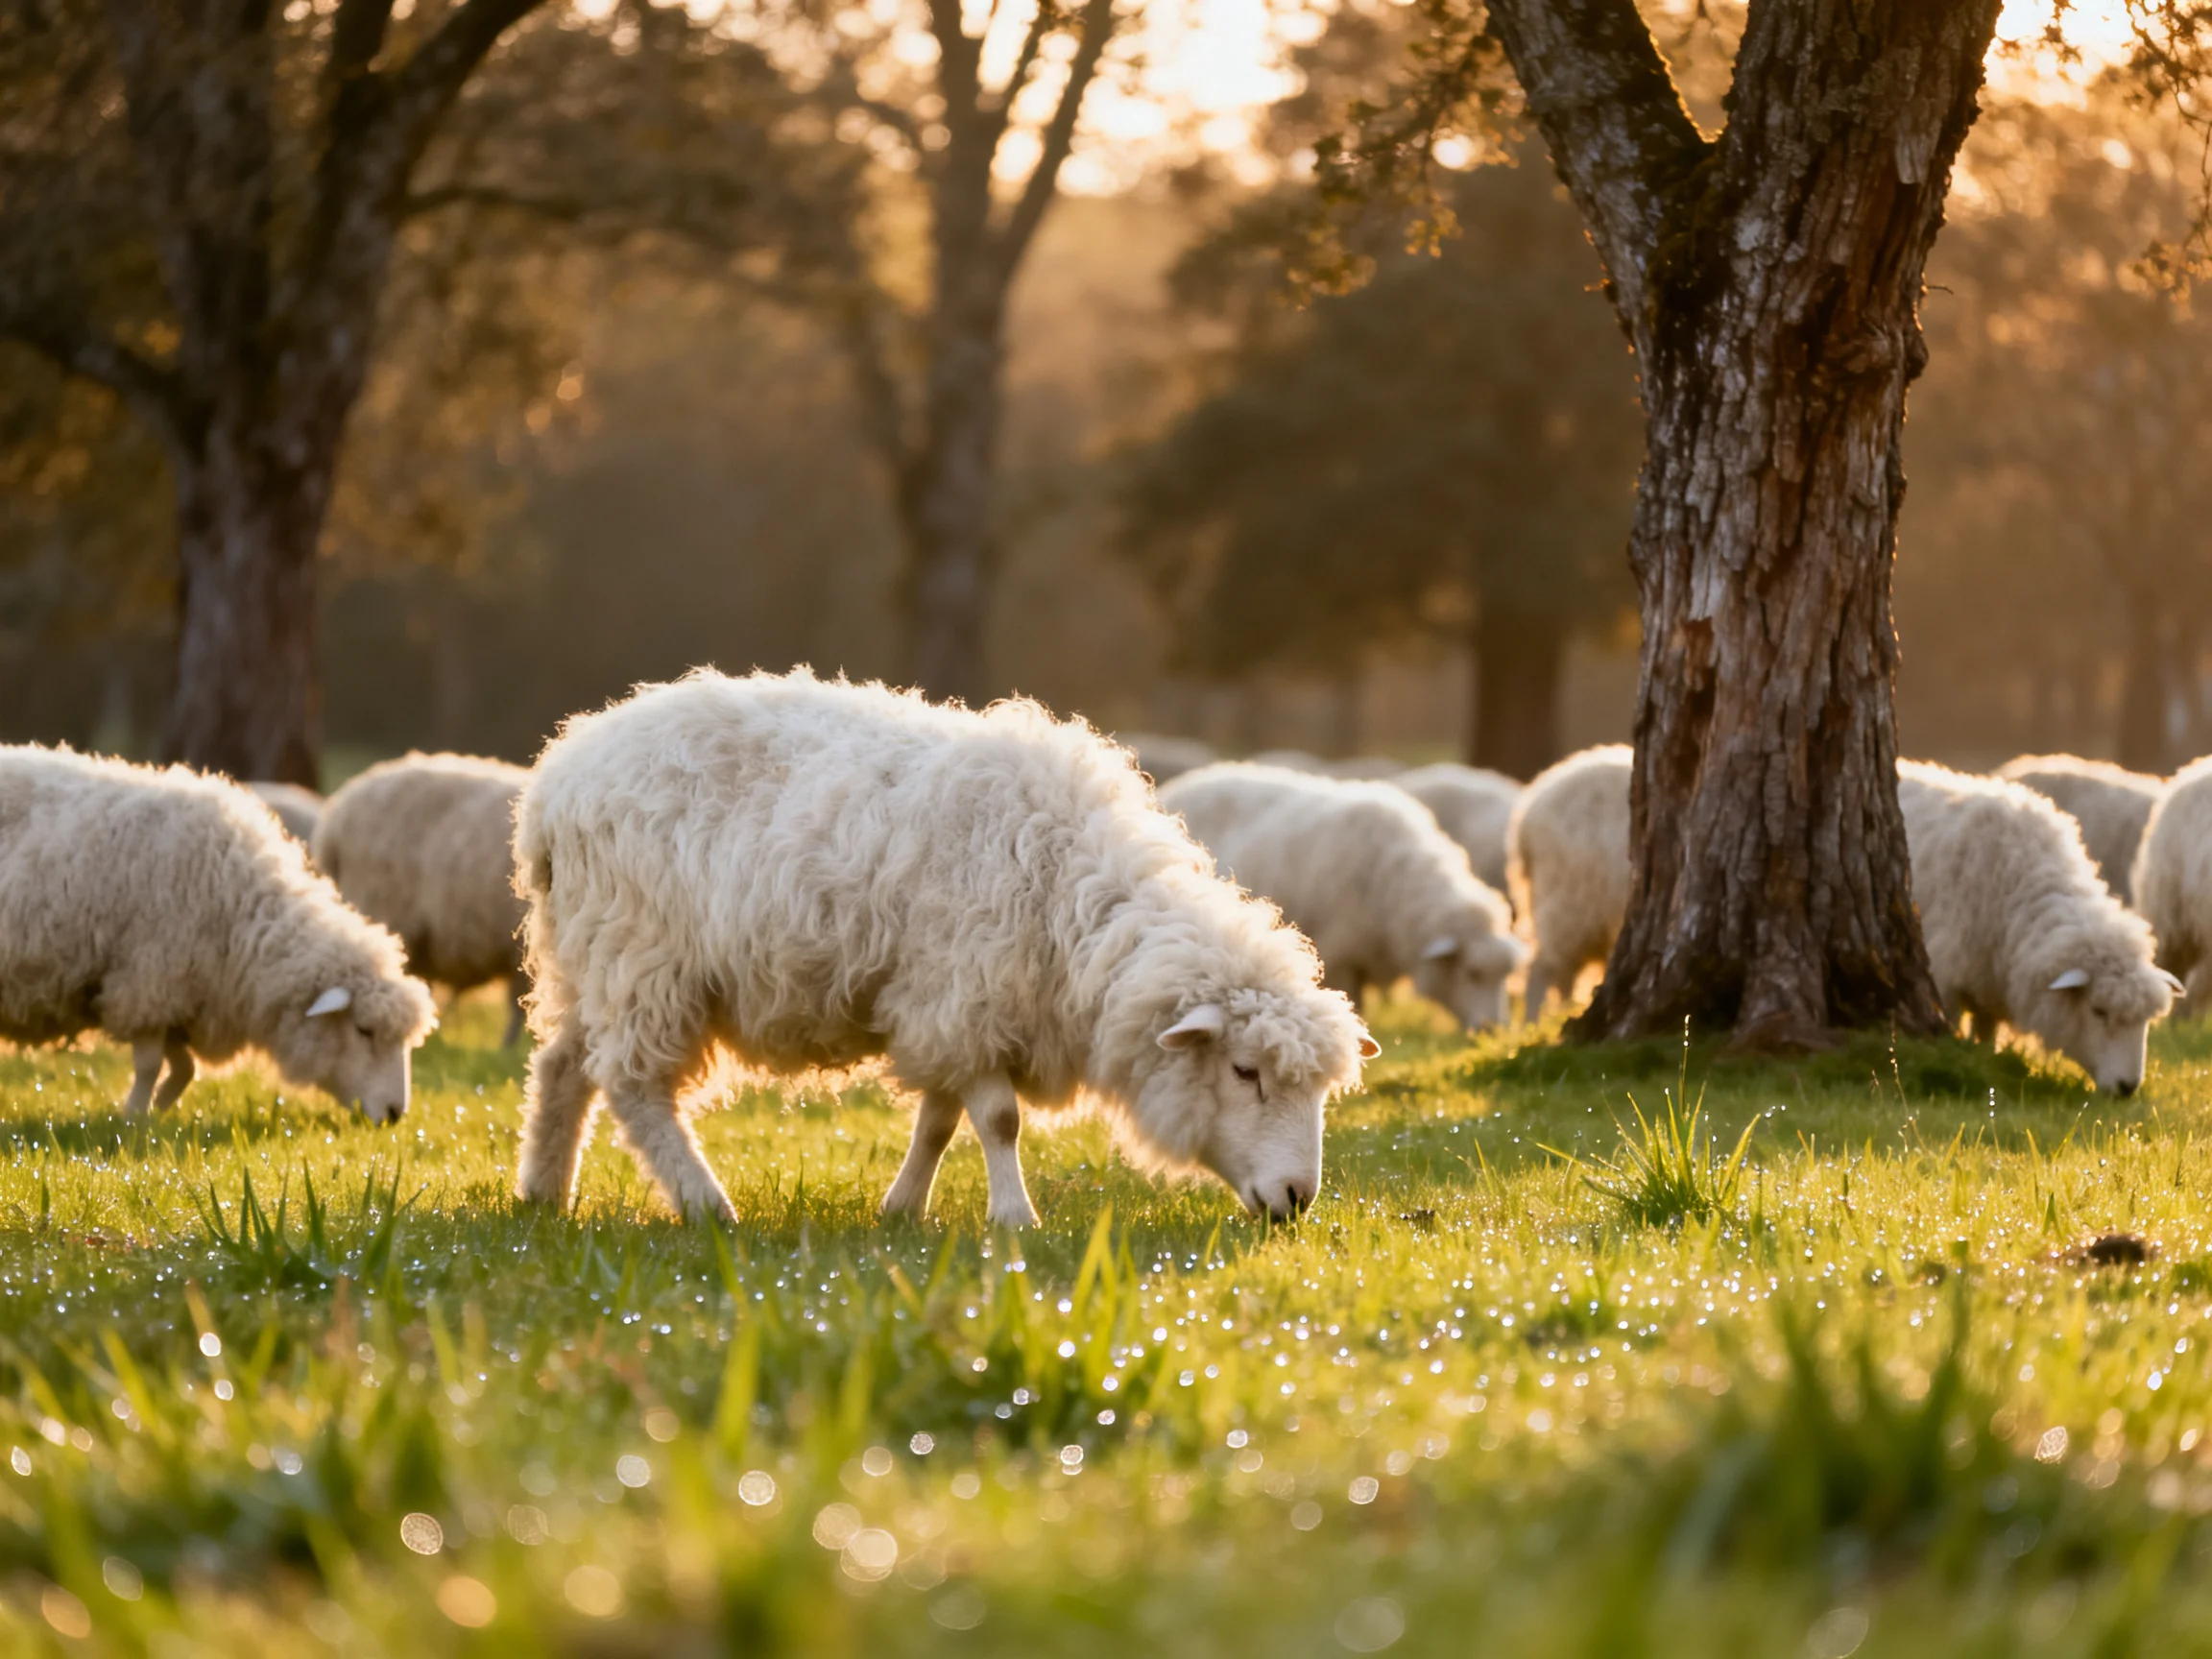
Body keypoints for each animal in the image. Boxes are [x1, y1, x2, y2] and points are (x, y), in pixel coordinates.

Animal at [0, 746, 436, 1120]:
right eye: (364, 1031)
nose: (396, 1114)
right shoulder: (146, 984)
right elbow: (149, 1065)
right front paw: (133, 1118)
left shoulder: (182, 996)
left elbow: (185, 1069)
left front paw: (156, 1111)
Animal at [512, 670, 1377, 1228]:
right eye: (1245, 1073)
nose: (1297, 1200)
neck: (1070, 896)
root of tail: (555, 779)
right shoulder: (967, 991)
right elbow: (997, 1120)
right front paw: (1015, 1219)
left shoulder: (946, 1010)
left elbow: (938, 1119)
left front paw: (902, 1209)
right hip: (643, 955)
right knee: (634, 1088)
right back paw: (703, 1204)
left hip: (588, 955)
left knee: (560, 1068)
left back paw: (543, 1194)